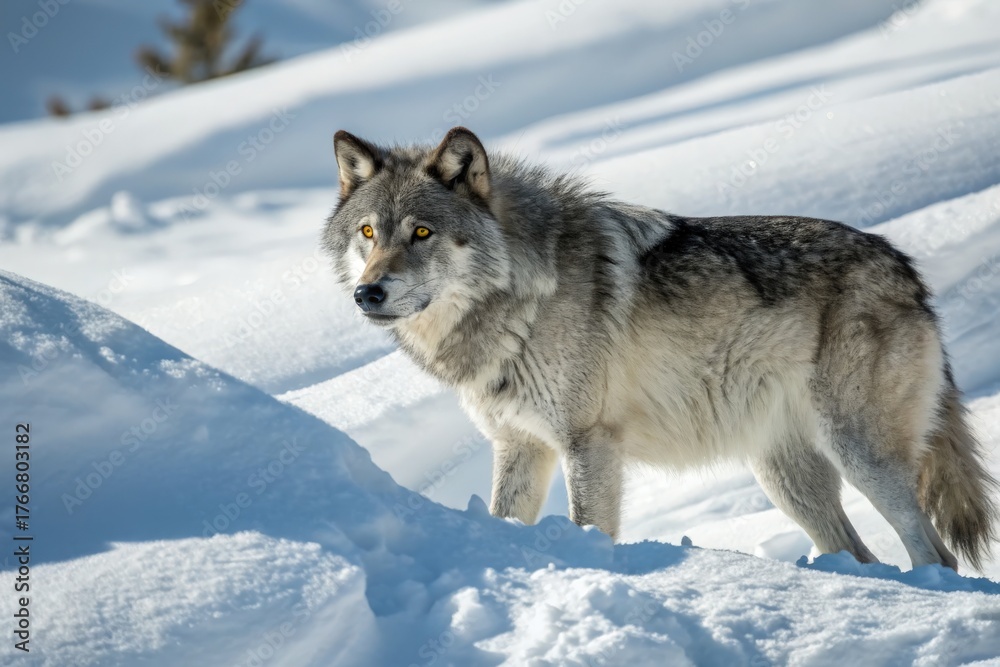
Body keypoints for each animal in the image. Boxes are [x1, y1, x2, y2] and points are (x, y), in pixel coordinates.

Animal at [322, 126, 998, 571]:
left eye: (422, 232)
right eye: (368, 233)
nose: (368, 293)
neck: (520, 300)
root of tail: (905, 268)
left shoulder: (589, 443)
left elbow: (590, 527)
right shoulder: (521, 447)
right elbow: (503, 519)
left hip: (861, 455)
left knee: (935, 554)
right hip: (786, 479)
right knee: (861, 555)